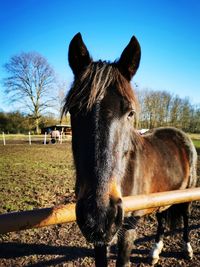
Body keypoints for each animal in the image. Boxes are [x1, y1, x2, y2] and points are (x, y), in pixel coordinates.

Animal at [62, 33, 197, 267]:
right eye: (73, 109)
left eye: (130, 113)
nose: (99, 214)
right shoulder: (101, 238)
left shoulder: (128, 228)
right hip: (162, 195)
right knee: (162, 219)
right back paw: (155, 251)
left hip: (187, 194)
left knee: (186, 217)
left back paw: (187, 249)